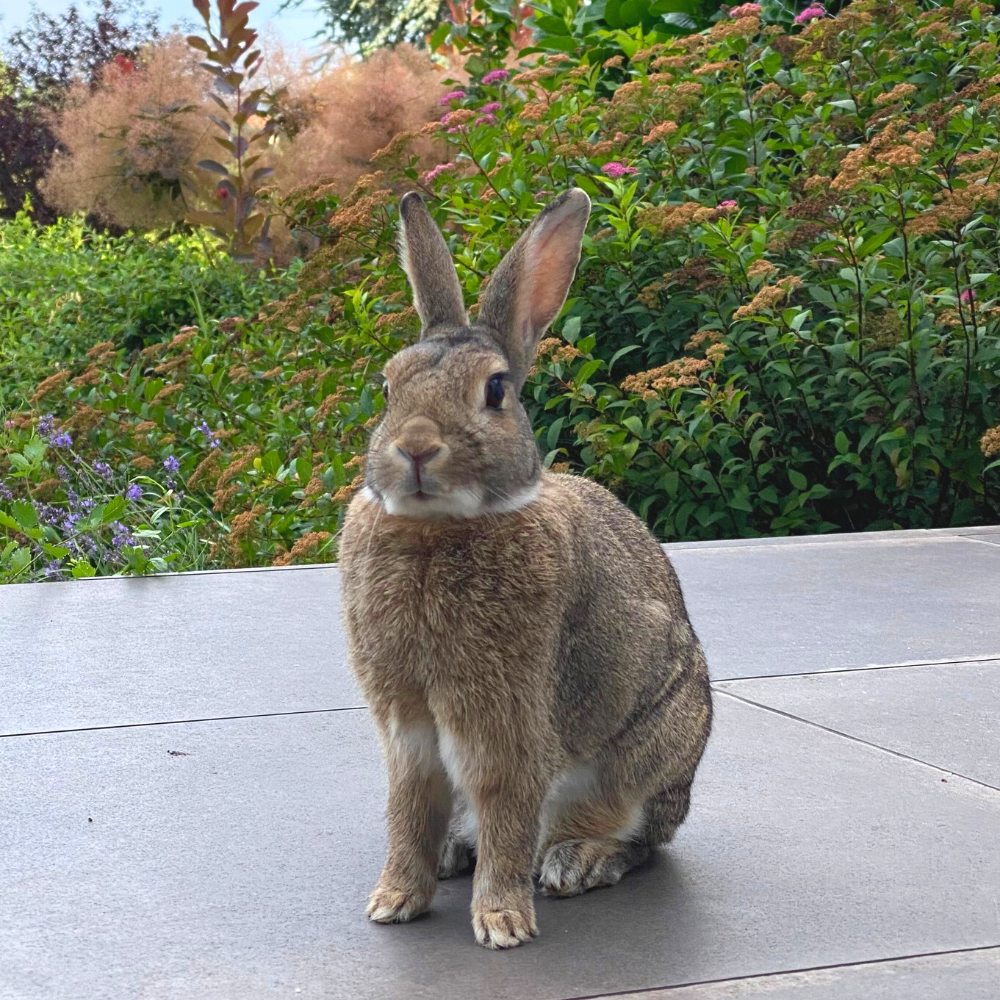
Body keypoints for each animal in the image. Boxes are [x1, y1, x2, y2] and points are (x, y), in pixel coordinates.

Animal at [339, 188, 712, 950]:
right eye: (387, 387)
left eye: (496, 391)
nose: (415, 447)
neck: (438, 528)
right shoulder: (408, 730)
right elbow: (408, 808)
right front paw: (393, 900)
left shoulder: (509, 722)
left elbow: (508, 811)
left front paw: (503, 923)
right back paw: (455, 852)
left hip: (650, 755)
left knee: (638, 839)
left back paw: (573, 862)